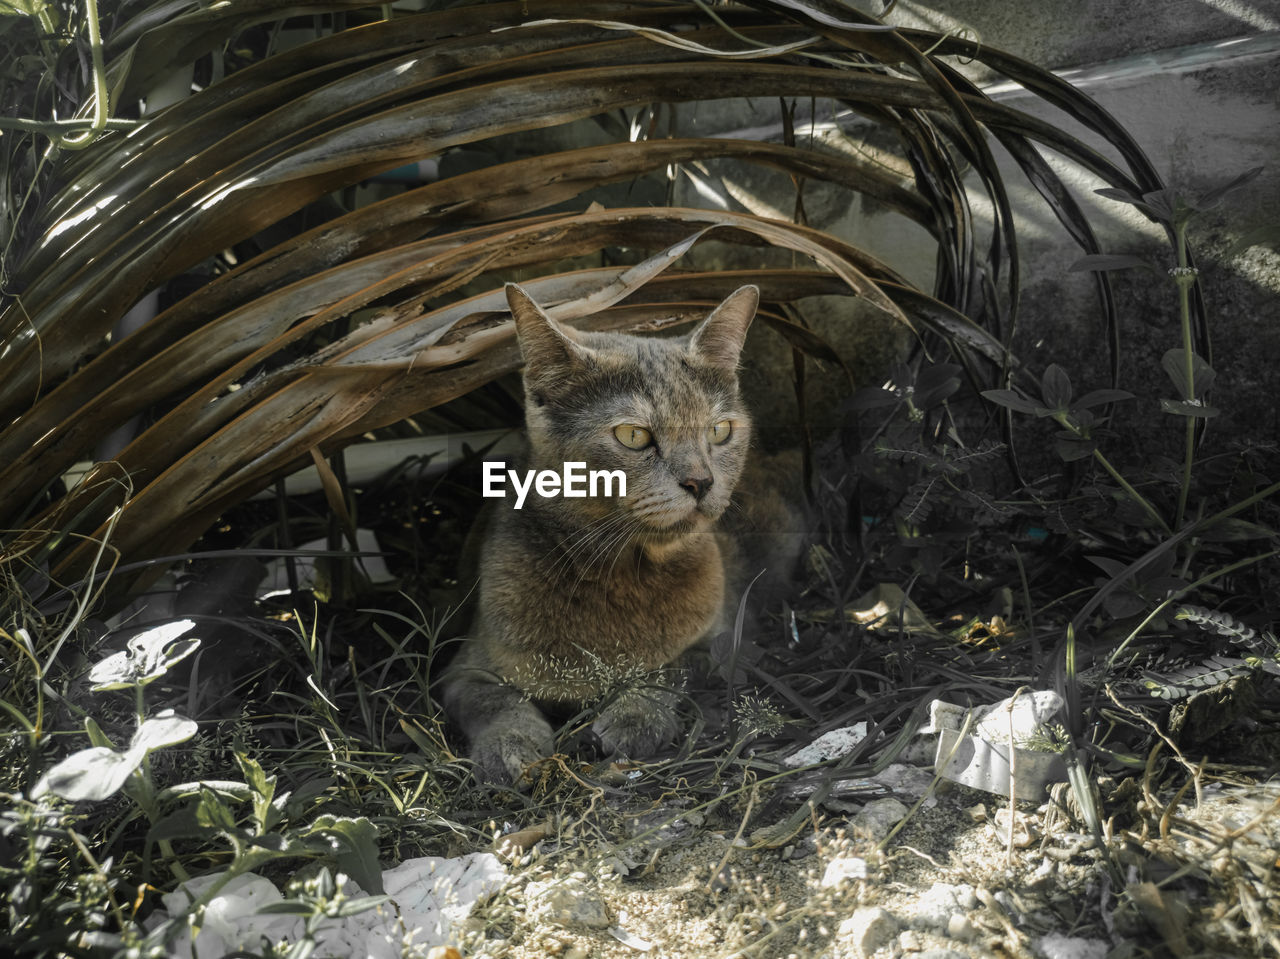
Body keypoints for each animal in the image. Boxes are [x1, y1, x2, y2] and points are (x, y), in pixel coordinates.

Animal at [440, 282, 773, 783]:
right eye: (633, 436)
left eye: (719, 430)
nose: (701, 481)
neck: (623, 575)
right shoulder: (467, 666)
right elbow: (492, 699)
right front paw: (511, 747)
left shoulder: (728, 638)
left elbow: (672, 668)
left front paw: (634, 716)